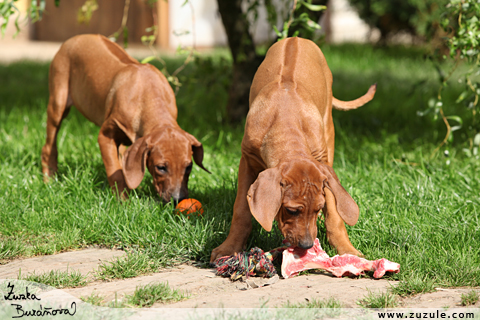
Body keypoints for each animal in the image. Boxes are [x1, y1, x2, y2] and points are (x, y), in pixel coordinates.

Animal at [39, 33, 208, 201]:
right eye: (161, 167)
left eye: (189, 167)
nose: (178, 199)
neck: (150, 98)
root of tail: (76, 37)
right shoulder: (105, 136)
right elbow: (116, 172)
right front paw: (123, 201)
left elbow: (124, 167)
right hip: (58, 102)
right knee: (48, 146)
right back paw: (49, 180)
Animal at [210, 38, 376, 262]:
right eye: (291, 210)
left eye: (318, 208)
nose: (306, 246)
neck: (285, 121)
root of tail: (297, 39)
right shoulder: (247, 160)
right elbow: (241, 210)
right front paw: (230, 247)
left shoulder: (323, 164)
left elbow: (334, 209)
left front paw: (346, 248)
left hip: (329, 129)